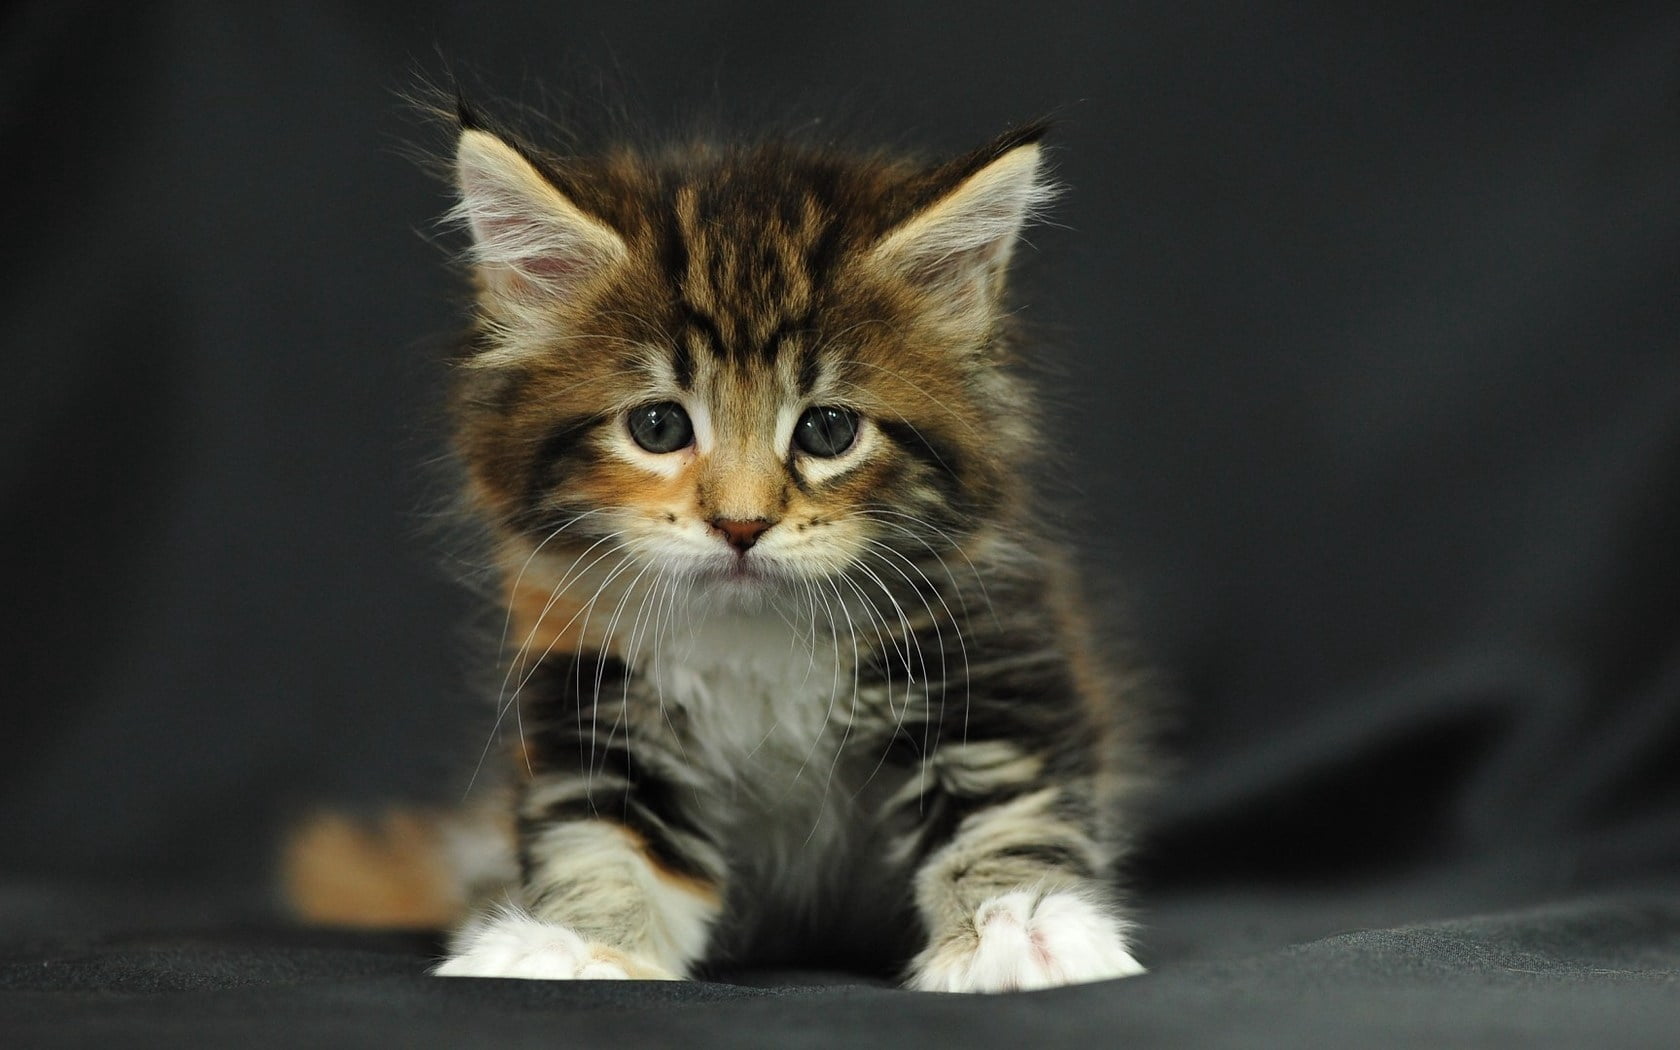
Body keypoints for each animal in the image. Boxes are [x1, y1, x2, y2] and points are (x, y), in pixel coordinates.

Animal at [312, 104, 1155, 987]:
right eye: (658, 426)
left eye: (828, 430)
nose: (741, 525)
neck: (756, 640)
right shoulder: (590, 694)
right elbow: (601, 839)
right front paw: (575, 943)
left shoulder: (987, 655)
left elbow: (1007, 810)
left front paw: (1019, 928)